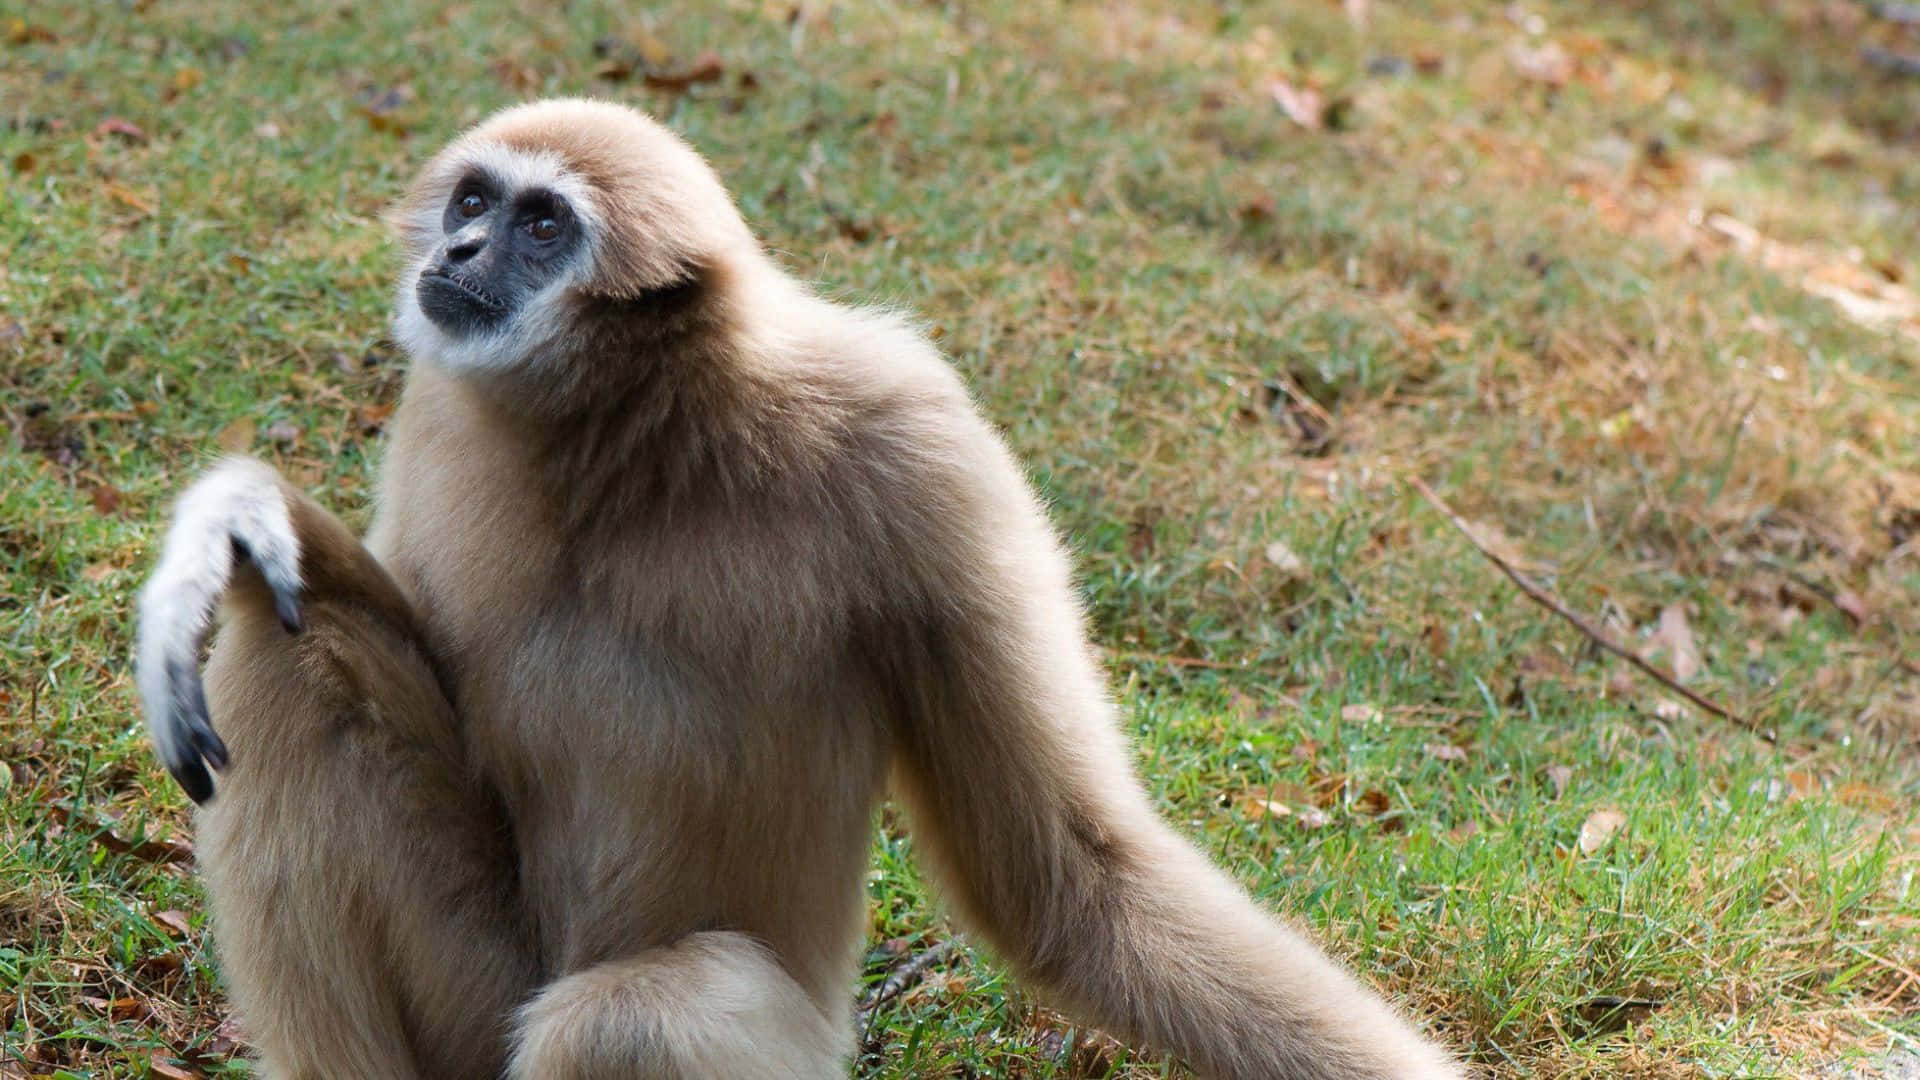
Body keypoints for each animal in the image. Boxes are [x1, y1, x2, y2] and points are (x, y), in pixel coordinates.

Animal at [136, 99, 1462, 1079]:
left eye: (542, 226)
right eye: (473, 202)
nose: (456, 252)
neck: (638, 445)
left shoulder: (918, 443)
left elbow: (1071, 881)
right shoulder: (443, 411)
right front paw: (222, 523)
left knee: (627, 1023)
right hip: (475, 1011)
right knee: (291, 643)